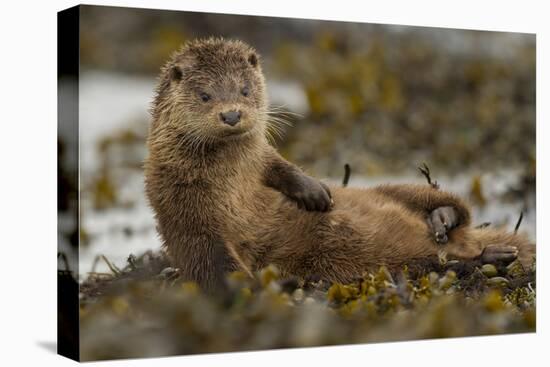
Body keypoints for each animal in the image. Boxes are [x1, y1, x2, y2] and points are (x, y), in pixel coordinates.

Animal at [144, 38, 536, 294]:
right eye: (205, 95)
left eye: (243, 89)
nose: (231, 114)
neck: (230, 183)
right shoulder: (185, 213)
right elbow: (214, 266)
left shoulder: (259, 159)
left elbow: (280, 166)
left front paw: (316, 194)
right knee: (441, 262)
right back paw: (490, 256)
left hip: (400, 188)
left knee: (455, 209)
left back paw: (443, 219)